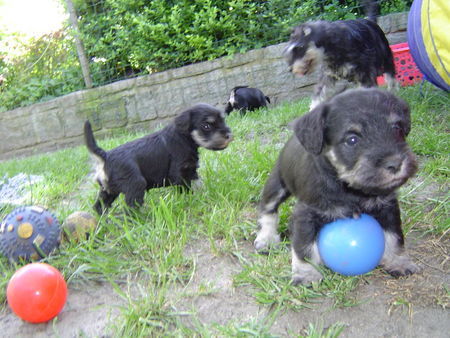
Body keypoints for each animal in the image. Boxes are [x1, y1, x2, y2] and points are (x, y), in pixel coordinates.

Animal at [84, 103, 234, 214]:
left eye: (223, 120)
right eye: (206, 126)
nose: (229, 135)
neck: (183, 138)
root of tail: (105, 156)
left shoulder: (191, 170)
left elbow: (197, 183)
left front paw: (202, 195)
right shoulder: (179, 173)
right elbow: (186, 188)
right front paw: (189, 199)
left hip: (108, 190)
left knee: (99, 206)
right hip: (136, 184)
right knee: (130, 208)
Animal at [255, 88, 420, 286]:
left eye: (396, 128)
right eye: (352, 139)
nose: (395, 164)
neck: (349, 188)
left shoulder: (388, 207)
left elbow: (395, 237)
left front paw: (398, 261)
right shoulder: (306, 214)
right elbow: (304, 248)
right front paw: (306, 274)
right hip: (276, 185)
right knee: (268, 211)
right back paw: (266, 238)